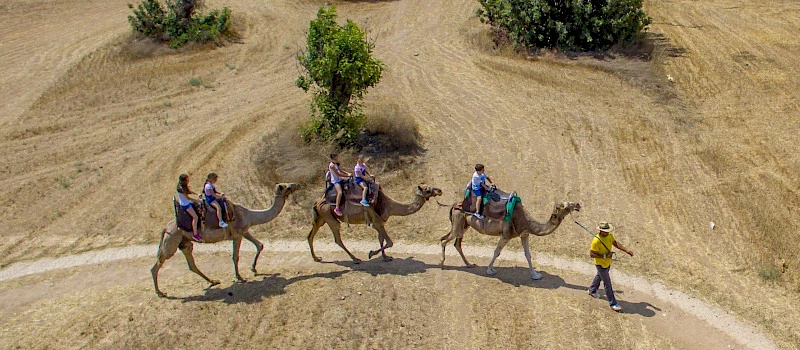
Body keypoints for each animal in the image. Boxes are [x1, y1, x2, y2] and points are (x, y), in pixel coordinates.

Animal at [152, 182, 298, 296]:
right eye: (285, 186)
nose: (296, 185)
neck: (249, 214)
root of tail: (165, 228)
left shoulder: (244, 231)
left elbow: (259, 245)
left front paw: (254, 269)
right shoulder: (237, 234)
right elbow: (235, 256)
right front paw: (240, 277)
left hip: (184, 242)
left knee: (191, 263)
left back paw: (213, 281)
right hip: (172, 239)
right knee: (158, 263)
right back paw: (160, 293)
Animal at [306, 183, 444, 262]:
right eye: (427, 190)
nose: (439, 191)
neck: (388, 205)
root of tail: (317, 202)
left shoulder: (380, 223)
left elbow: (381, 239)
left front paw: (386, 257)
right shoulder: (377, 222)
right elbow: (390, 242)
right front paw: (371, 254)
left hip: (321, 218)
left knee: (310, 235)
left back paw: (316, 258)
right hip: (329, 217)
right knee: (337, 238)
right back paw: (355, 259)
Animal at [438, 197, 580, 282]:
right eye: (565, 206)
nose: (578, 204)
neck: (527, 221)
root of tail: (453, 206)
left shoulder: (524, 234)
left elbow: (528, 255)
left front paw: (535, 275)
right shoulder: (506, 235)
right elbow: (496, 252)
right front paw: (489, 270)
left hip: (463, 225)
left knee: (456, 243)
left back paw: (469, 264)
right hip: (458, 222)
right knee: (444, 240)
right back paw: (442, 264)